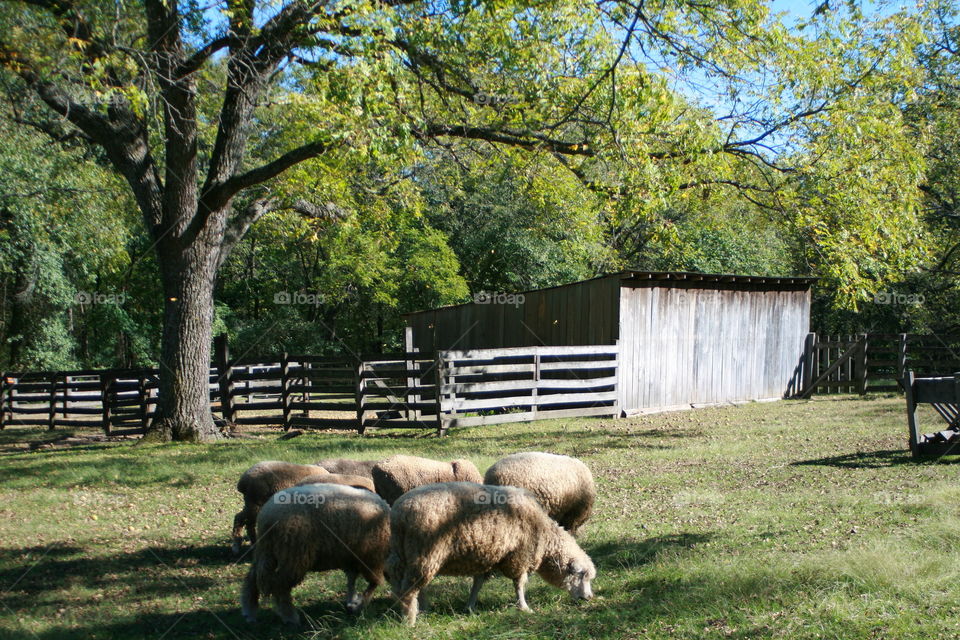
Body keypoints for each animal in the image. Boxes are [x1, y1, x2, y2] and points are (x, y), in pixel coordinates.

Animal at [240, 484, 390, 624]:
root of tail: (266, 514)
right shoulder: (372, 558)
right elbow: (373, 583)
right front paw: (358, 605)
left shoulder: (352, 556)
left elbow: (351, 579)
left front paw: (351, 600)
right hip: (292, 555)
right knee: (280, 587)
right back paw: (290, 617)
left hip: (266, 550)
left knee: (252, 579)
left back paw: (249, 613)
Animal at [386, 480, 596, 624]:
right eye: (581, 575)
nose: (589, 598)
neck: (543, 535)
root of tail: (400, 512)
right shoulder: (518, 556)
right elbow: (519, 584)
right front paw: (524, 607)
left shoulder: (488, 556)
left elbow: (478, 583)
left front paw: (470, 607)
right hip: (424, 553)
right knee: (409, 588)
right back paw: (410, 620)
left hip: (401, 554)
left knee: (400, 582)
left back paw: (418, 609)